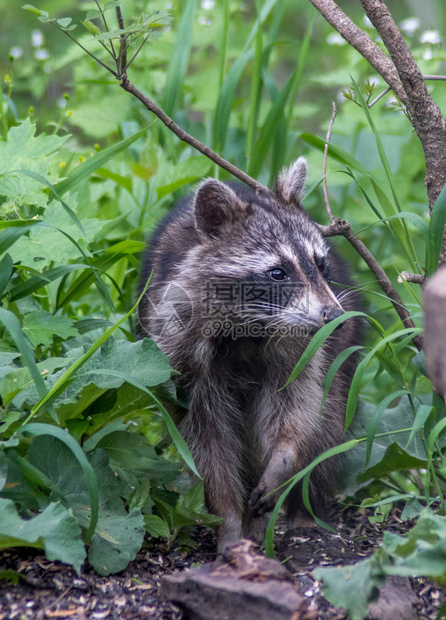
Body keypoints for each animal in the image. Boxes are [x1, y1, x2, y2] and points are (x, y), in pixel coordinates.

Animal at [139, 157, 362, 548]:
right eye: (277, 272)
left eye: (320, 264)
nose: (334, 317)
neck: (249, 323)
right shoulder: (180, 351)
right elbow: (207, 440)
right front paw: (227, 516)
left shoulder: (302, 346)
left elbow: (298, 408)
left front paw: (283, 461)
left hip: (342, 353)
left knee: (328, 421)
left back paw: (301, 507)